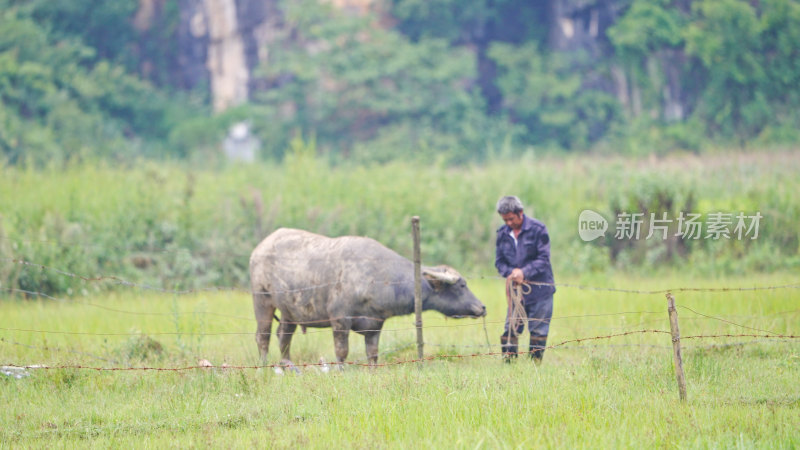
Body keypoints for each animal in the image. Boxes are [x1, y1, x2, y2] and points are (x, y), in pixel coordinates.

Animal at [250, 229, 488, 366]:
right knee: (263, 336)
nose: (482, 307)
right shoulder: (340, 320)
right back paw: (264, 365)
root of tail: (259, 249)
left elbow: (372, 354)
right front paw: (341, 370)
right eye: (461, 285)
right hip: (262, 301)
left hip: (289, 310)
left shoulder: (375, 324)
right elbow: (342, 352)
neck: (377, 276)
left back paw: (287, 365)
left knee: (284, 337)